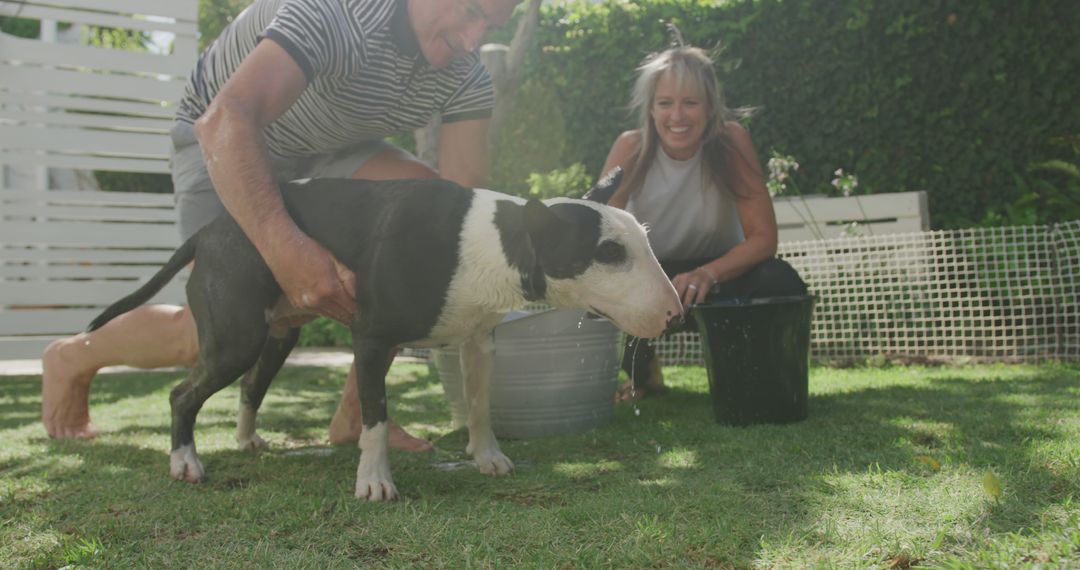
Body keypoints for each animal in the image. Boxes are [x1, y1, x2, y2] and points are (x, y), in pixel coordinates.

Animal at [86, 169, 673, 498]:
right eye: (609, 253)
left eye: (642, 240)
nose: (673, 311)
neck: (491, 244)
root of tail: (209, 232)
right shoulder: (371, 342)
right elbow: (374, 421)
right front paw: (374, 482)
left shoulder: (478, 341)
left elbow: (480, 405)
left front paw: (487, 457)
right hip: (235, 337)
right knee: (182, 394)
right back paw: (185, 462)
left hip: (277, 336)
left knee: (250, 387)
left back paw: (247, 439)